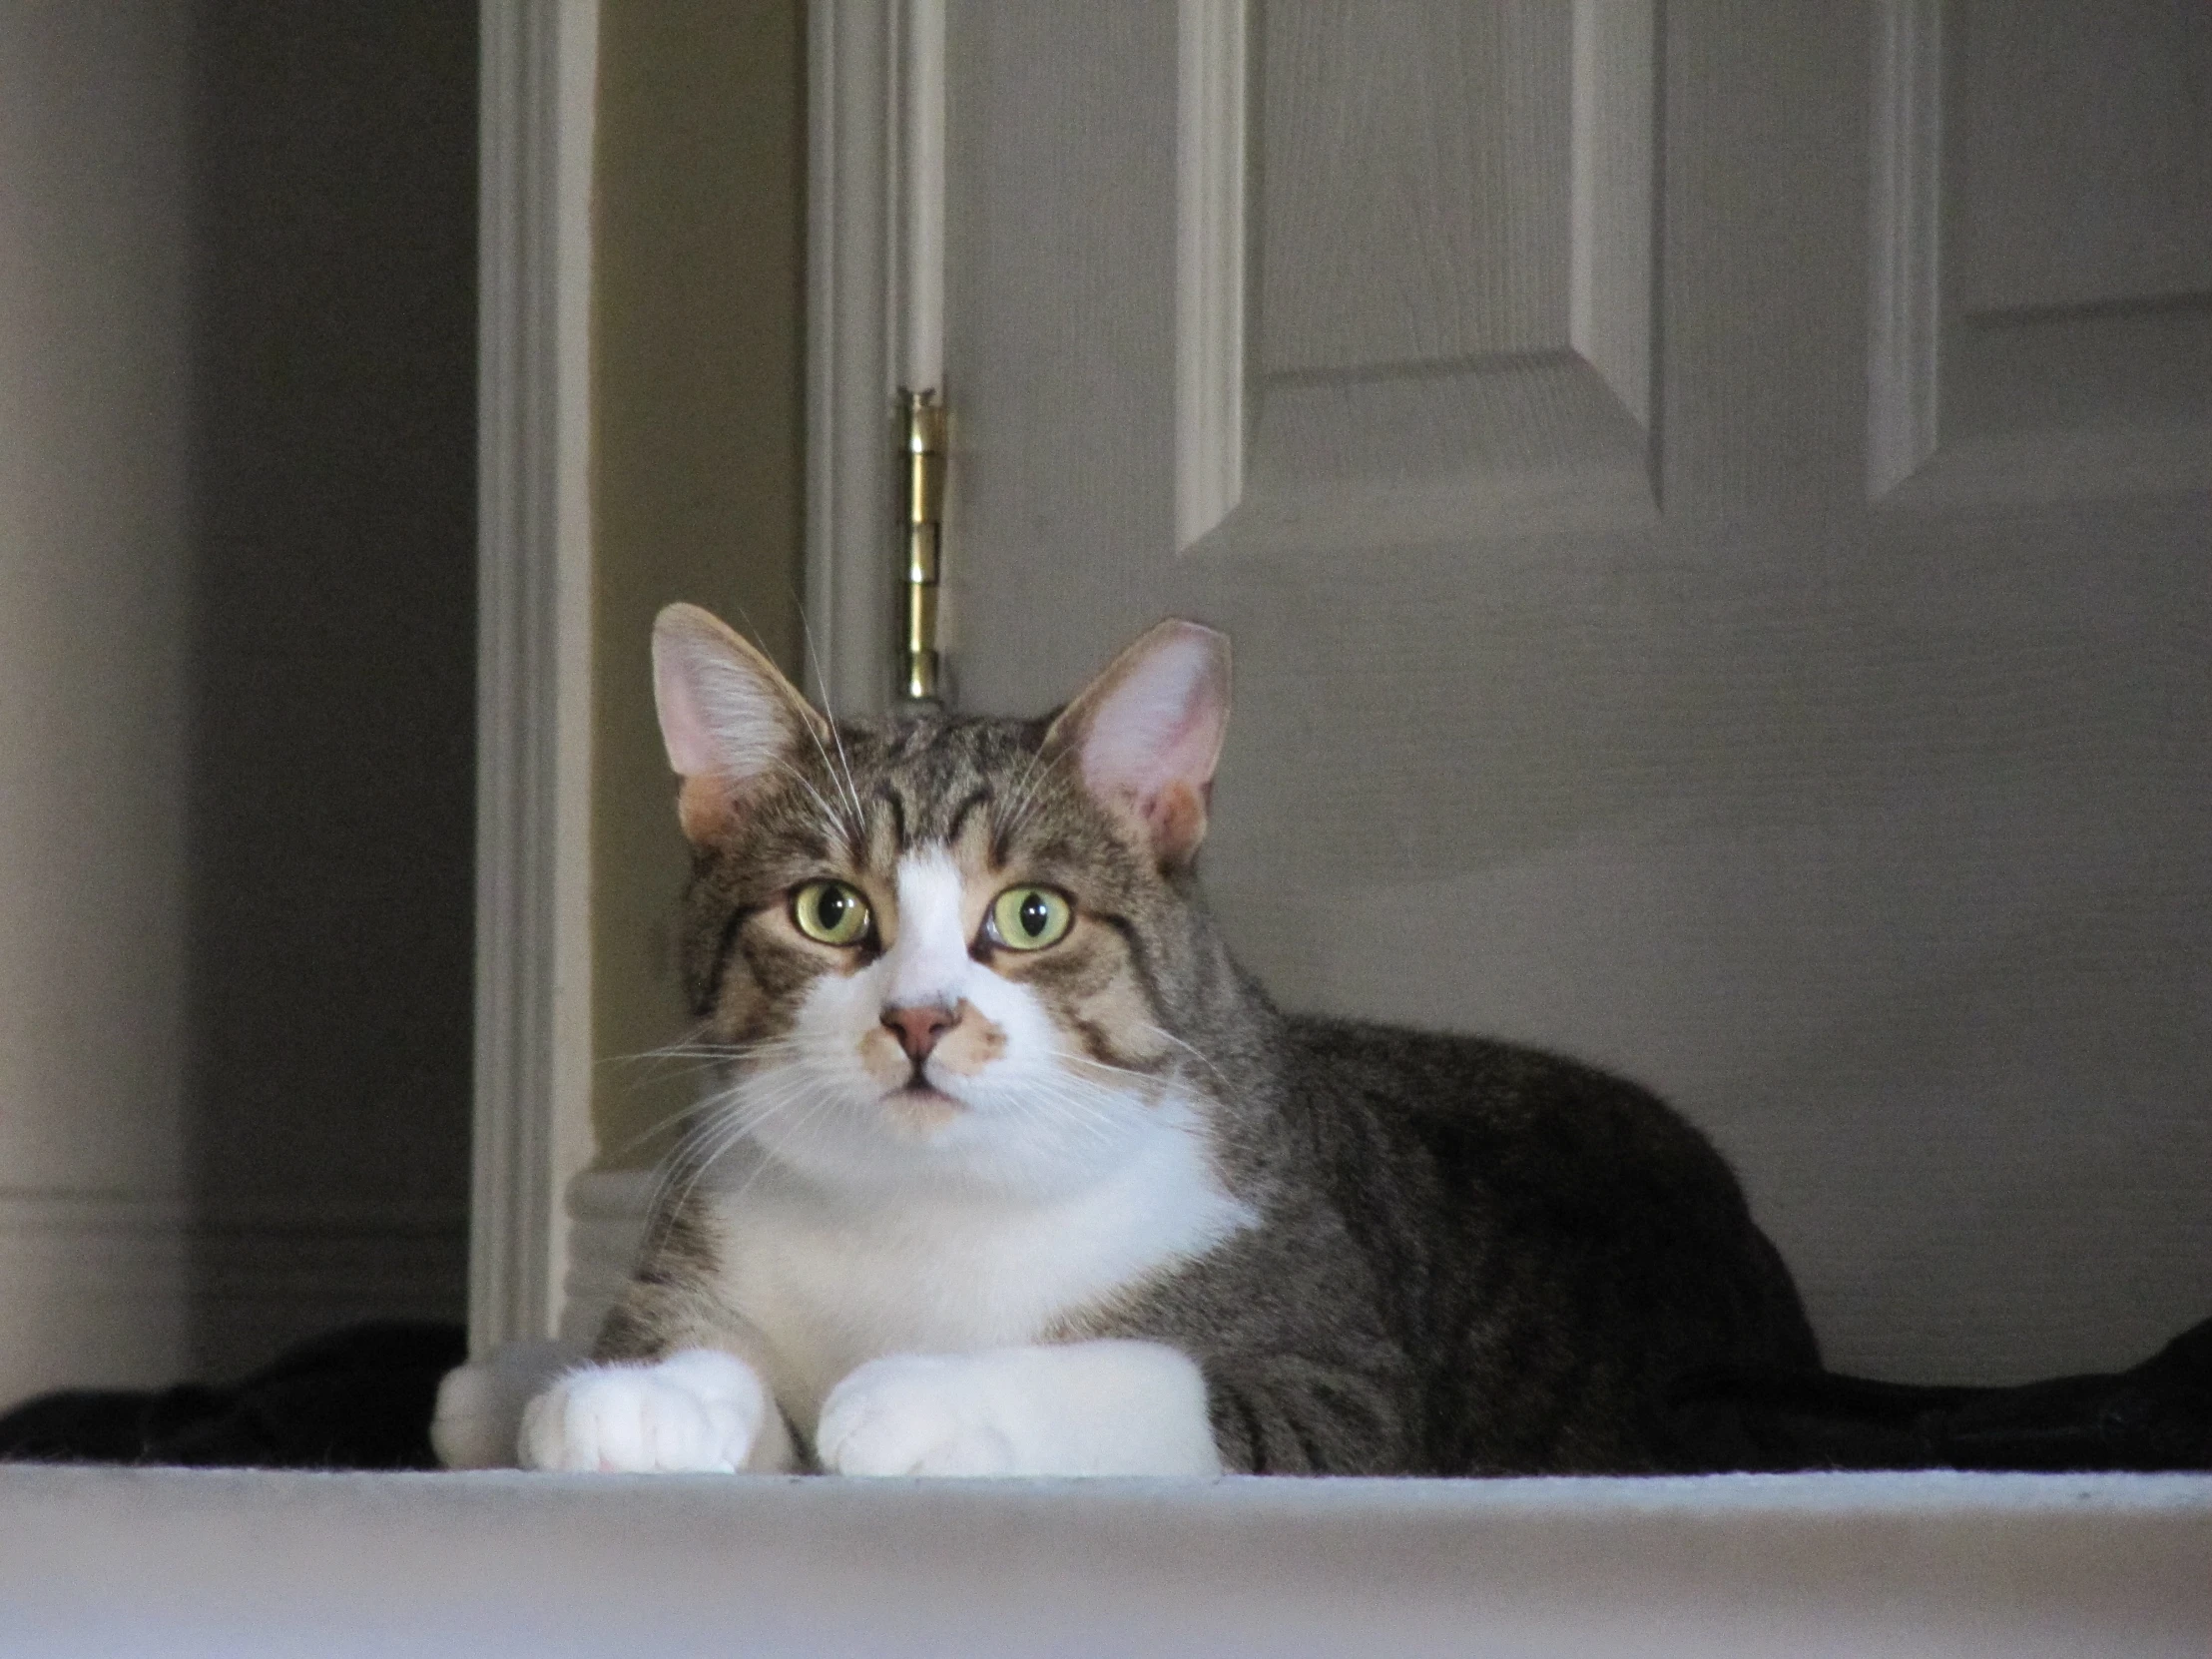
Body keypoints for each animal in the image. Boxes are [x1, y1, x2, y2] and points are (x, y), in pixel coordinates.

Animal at [517, 606, 1814, 1477]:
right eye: (829, 910)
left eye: (1031, 916)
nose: (920, 1017)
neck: (927, 1210)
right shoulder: (712, 1248)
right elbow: (697, 1356)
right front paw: (638, 1399)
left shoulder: (1340, 1391)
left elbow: (1158, 1382)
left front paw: (925, 1398)